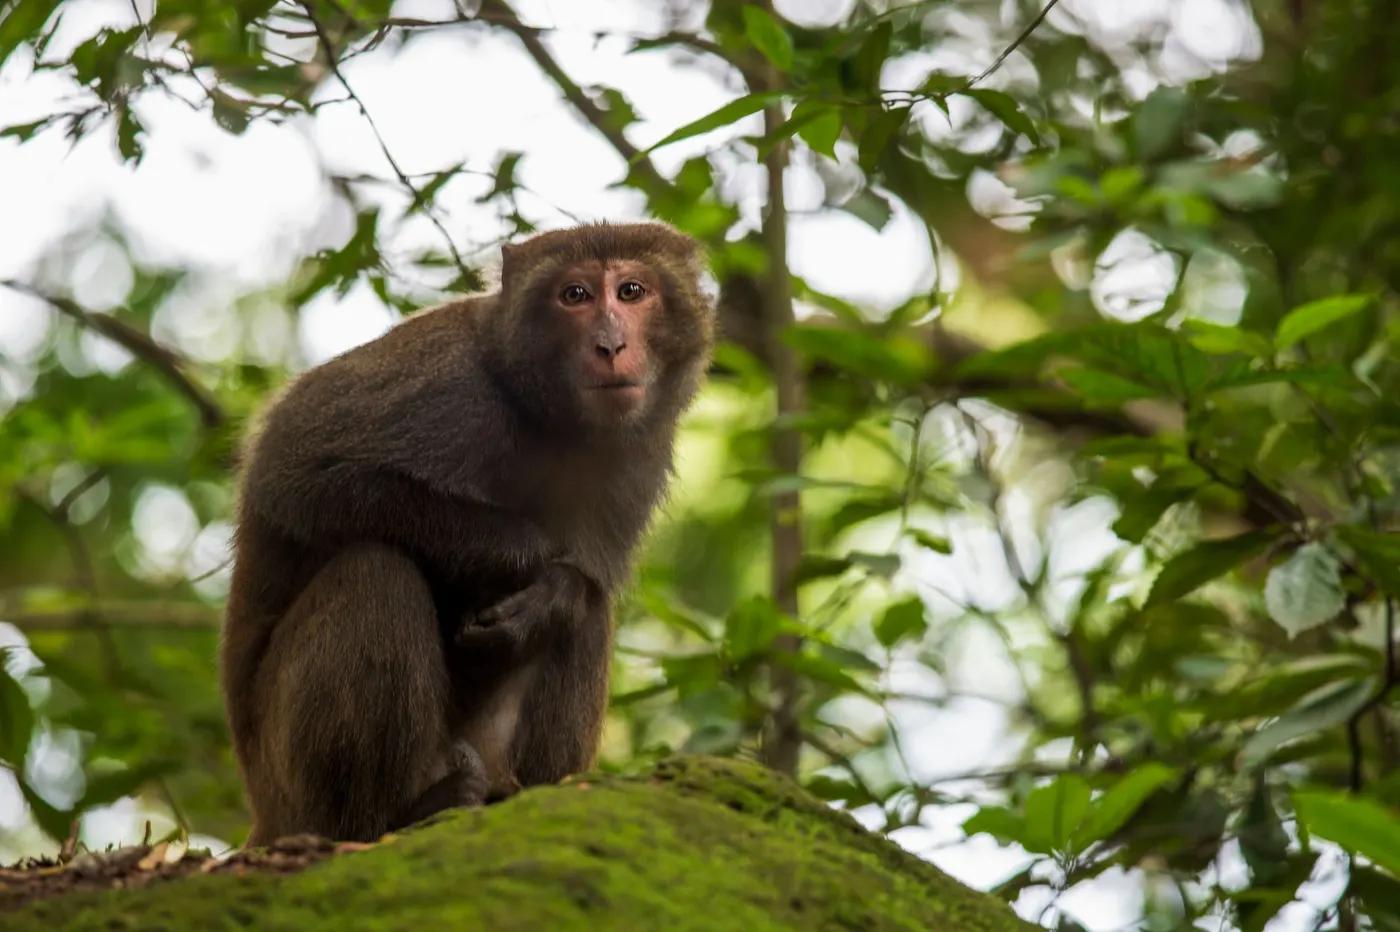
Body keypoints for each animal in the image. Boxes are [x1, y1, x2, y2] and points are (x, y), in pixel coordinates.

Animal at [220, 222, 714, 845]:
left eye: (631, 291)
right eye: (574, 295)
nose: (610, 345)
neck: (544, 413)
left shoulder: (642, 453)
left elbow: (582, 580)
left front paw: (551, 595)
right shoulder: (443, 382)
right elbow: (290, 470)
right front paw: (521, 553)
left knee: (588, 612)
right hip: (286, 779)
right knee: (374, 573)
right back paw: (397, 816)